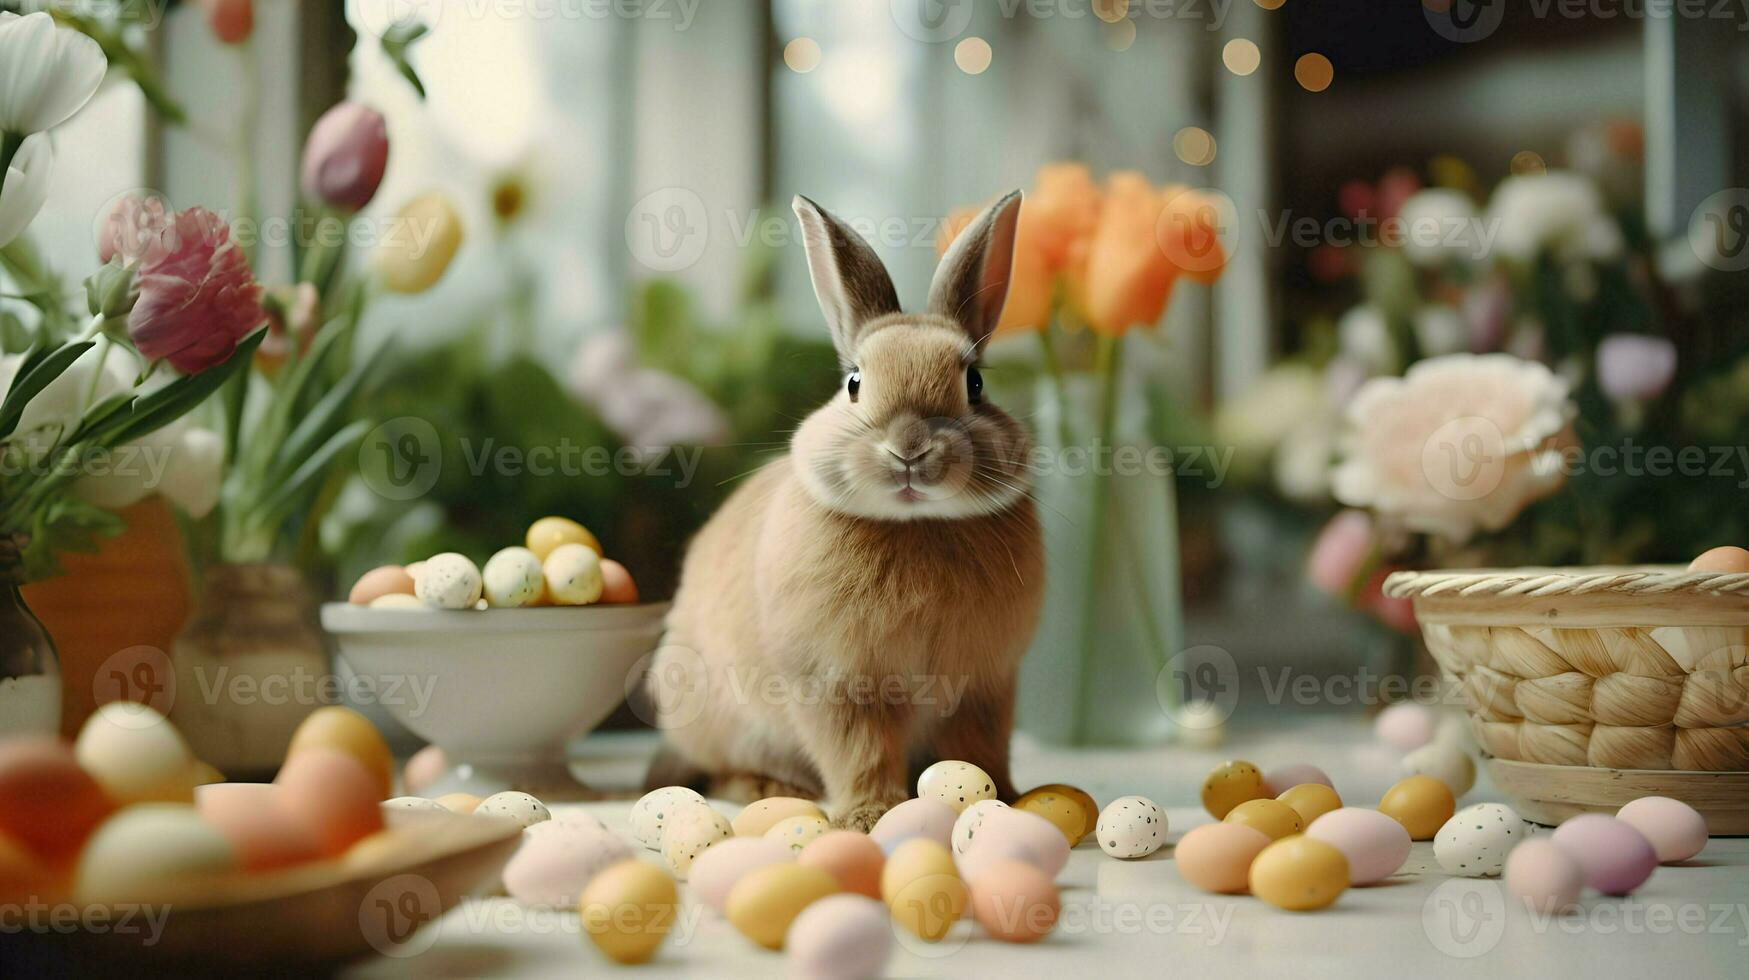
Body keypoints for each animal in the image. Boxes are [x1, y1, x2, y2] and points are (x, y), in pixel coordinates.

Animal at [650, 189, 1042, 826]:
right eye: (855, 382)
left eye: (976, 384)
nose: (910, 449)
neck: (915, 525)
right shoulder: (837, 684)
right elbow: (858, 751)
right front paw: (869, 816)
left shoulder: (986, 686)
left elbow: (977, 749)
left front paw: (1005, 799)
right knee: (721, 770)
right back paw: (768, 788)